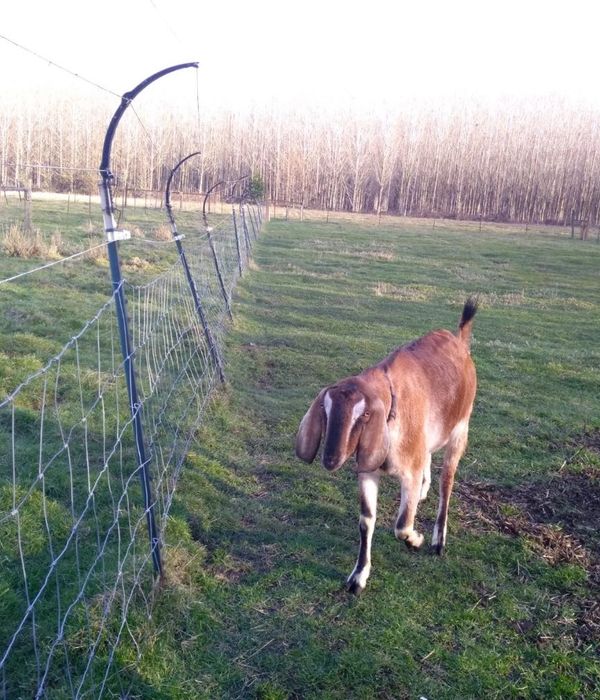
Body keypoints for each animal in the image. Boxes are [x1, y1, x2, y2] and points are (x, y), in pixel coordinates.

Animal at [295, 298, 478, 594]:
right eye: (325, 410)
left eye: (366, 414)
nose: (331, 459)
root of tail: (459, 342)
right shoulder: (368, 471)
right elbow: (366, 520)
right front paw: (358, 576)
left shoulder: (409, 472)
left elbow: (402, 525)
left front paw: (416, 540)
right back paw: (424, 493)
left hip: (460, 430)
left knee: (447, 483)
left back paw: (438, 540)